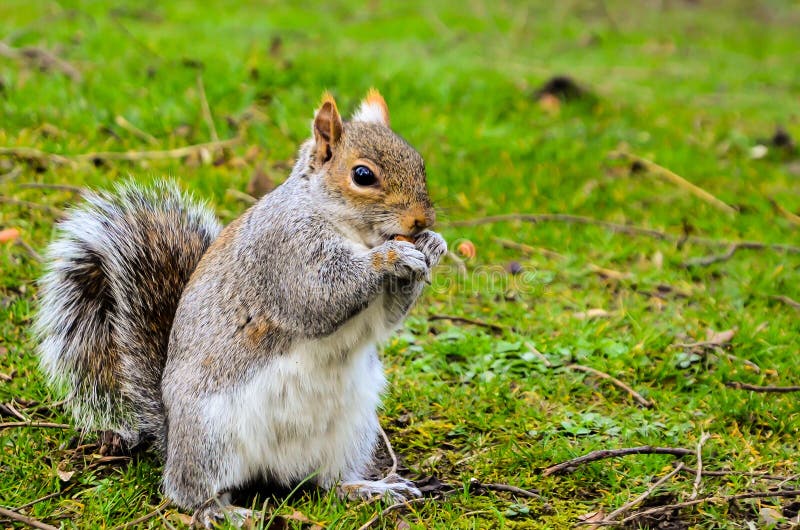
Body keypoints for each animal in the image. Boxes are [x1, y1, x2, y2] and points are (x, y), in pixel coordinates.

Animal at [34, 89, 446, 524]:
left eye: (420, 162)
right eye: (363, 175)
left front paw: (433, 246)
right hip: (210, 437)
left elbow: (384, 320)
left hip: (352, 431)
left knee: (329, 481)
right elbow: (318, 297)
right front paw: (390, 257)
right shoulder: (284, 251)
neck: (350, 231)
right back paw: (220, 511)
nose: (422, 221)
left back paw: (367, 488)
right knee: (185, 490)